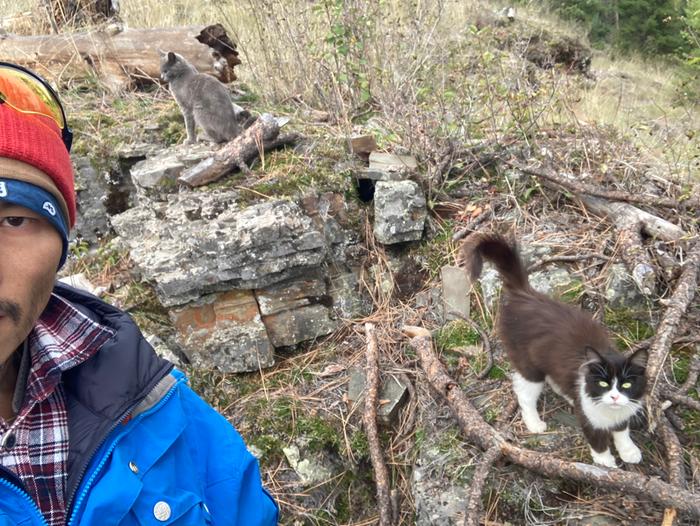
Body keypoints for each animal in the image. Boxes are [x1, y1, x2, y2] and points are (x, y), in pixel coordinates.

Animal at [460, 233, 652, 468]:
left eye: (626, 384)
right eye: (603, 384)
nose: (614, 397)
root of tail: (525, 293)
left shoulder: (623, 409)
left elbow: (622, 429)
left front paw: (628, 450)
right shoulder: (588, 416)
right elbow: (598, 441)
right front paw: (606, 464)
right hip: (528, 362)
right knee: (524, 391)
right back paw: (534, 423)